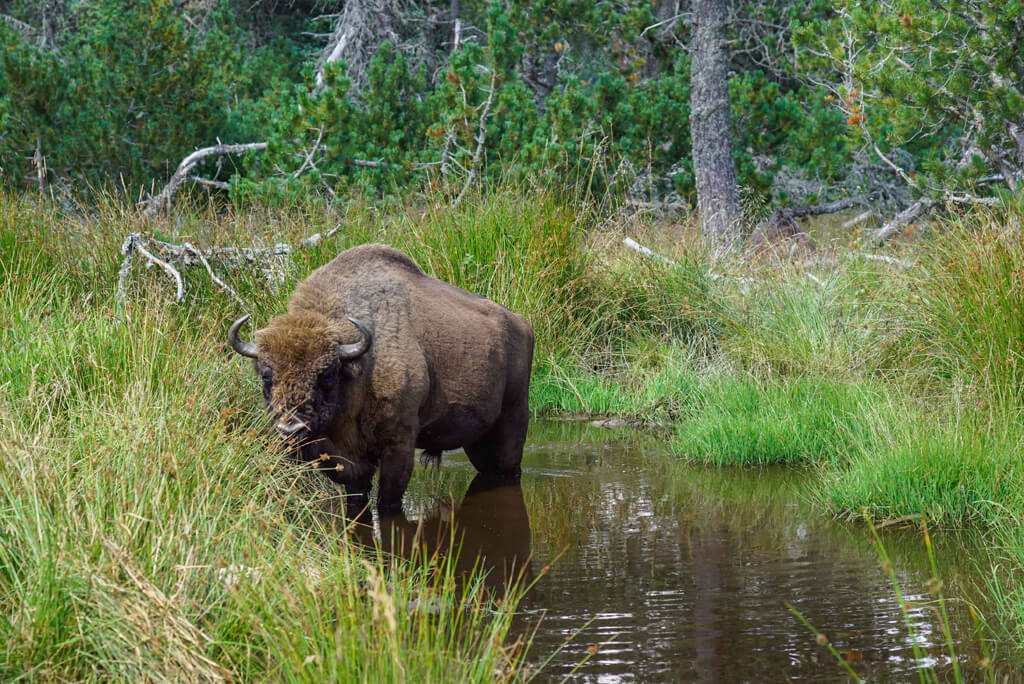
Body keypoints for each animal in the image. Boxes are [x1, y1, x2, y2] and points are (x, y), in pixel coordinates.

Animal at [228, 242, 536, 509]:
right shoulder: (353, 461)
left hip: (513, 419)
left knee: (510, 467)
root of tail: (522, 324)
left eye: (327, 375)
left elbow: (388, 499)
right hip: (476, 438)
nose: (290, 430)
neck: (361, 366)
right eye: (266, 376)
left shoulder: (399, 443)